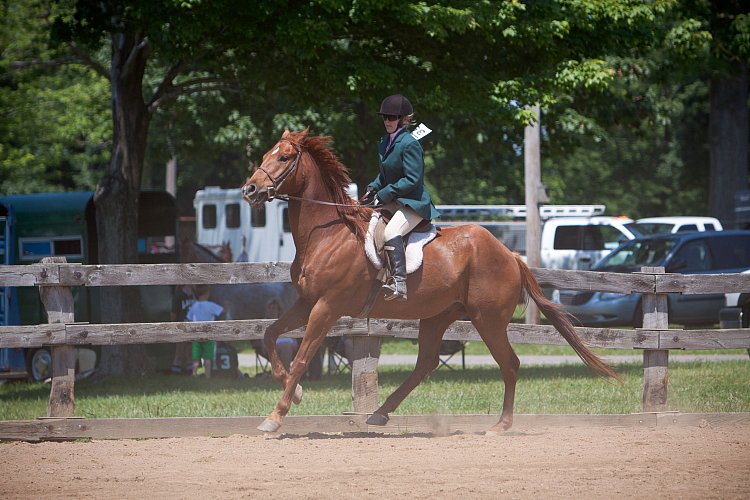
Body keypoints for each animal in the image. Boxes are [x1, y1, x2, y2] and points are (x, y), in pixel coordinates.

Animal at [244, 129, 620, 434]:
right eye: (264, 155)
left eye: (283, 157)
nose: (250, 189)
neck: (327, 234)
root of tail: (510, 255)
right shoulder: (307, 302)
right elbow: (270, 334)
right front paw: (295, 392)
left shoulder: (327, 306)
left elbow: (302, 358)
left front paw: (275, 417)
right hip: (439, 316)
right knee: (426, 363)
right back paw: (380, 413)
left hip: (488, 319)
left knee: (509, 364)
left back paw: (500, 425)